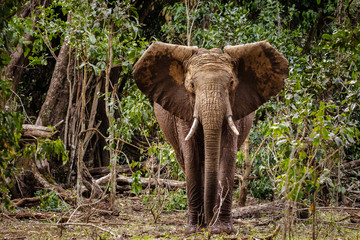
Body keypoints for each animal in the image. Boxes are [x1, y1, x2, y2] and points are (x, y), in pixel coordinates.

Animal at [134, 40, 288, 233]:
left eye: (231, 83)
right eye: (191, 85)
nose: (208, 223)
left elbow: (228, 154)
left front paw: (222, 229)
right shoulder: (183, 109)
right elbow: (191, 156)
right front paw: (194, 229)